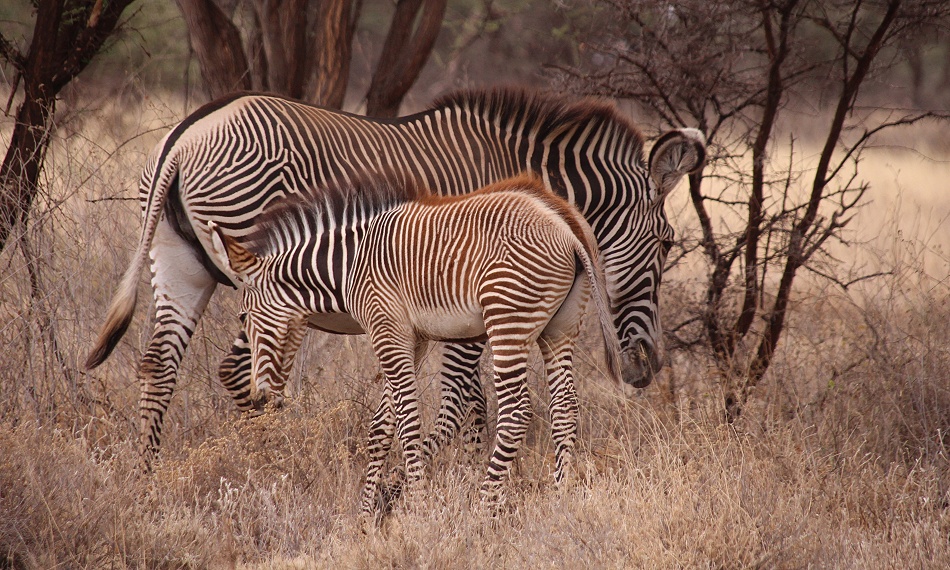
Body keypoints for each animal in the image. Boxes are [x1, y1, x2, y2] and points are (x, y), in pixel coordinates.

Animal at [84, 88, 706, 471]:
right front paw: (440, 478)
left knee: (159, 366)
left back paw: (149, 475)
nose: (647, 367)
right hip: (265, 276)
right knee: (244, 373)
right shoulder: (463, 304)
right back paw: (275, 463)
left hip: (178, 264)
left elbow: (470, 403)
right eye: (667, 242)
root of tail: (185, 134)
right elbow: (462, 399)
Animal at [206, 173, 623, 512]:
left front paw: (417, 504)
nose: (261, 400)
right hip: (560, 328)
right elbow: (380, 426)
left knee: (517, 409)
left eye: (242, 317)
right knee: (565, 405)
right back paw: (561, 495)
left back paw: (485, 503)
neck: (349, 266)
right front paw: (368, 514)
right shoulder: (411, 338)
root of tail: (564, 220)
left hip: (508, 319)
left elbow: (407, 419)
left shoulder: (386, 330)